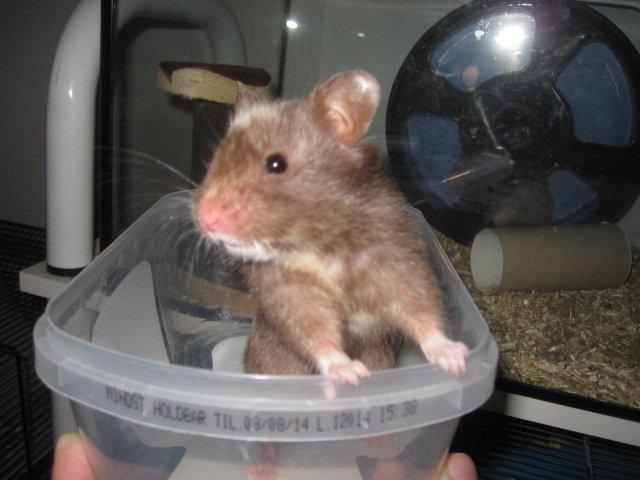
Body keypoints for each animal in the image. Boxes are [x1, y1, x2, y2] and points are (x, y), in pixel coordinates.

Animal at [194, 70, 468, 388]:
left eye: (276, 163)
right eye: (216, 158)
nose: (203, 218)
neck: (319, 243)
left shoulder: (394, 258)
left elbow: (417, 306)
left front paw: (455, 359)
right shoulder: (290, 292)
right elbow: (316, 332)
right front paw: (349, 373)